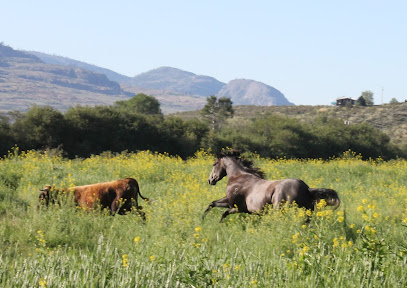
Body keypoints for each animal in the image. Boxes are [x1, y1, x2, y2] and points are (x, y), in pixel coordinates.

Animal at [204, 151, 342, 223]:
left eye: (214, 164)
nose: (210, 180)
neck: (239, 177)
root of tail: (306, 189)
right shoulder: (237, 207)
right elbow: (216, 207)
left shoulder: (232, 204)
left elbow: (218, 209)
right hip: (306, 211)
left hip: (280, 209)